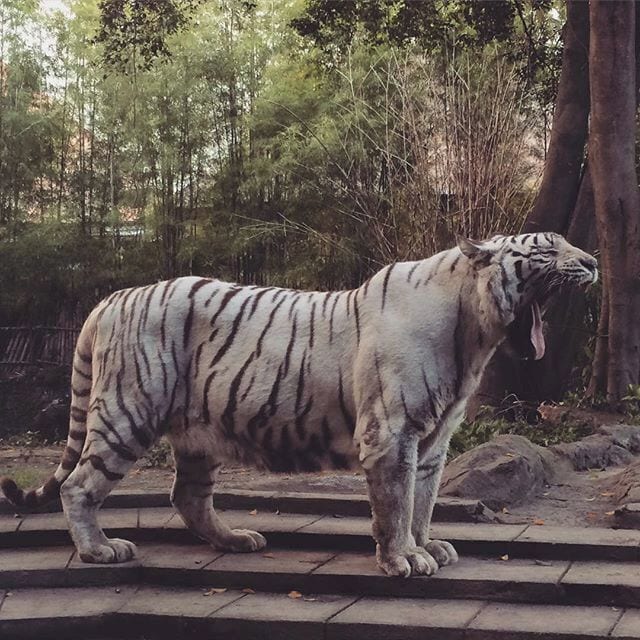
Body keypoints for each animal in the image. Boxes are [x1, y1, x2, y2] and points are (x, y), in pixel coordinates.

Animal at [1, 233, 597, 577]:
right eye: (548, 249)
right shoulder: (393, 434)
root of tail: (110, 299)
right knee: (80, 484)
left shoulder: (432, 442)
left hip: (197, 434)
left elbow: (423, 501)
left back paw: (236, 540)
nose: (593, 262)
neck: (474, 333)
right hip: (128, 411)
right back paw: (100, 551)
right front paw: (403, 559)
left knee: (187, 495)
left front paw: (430, 547)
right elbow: (396, 503)